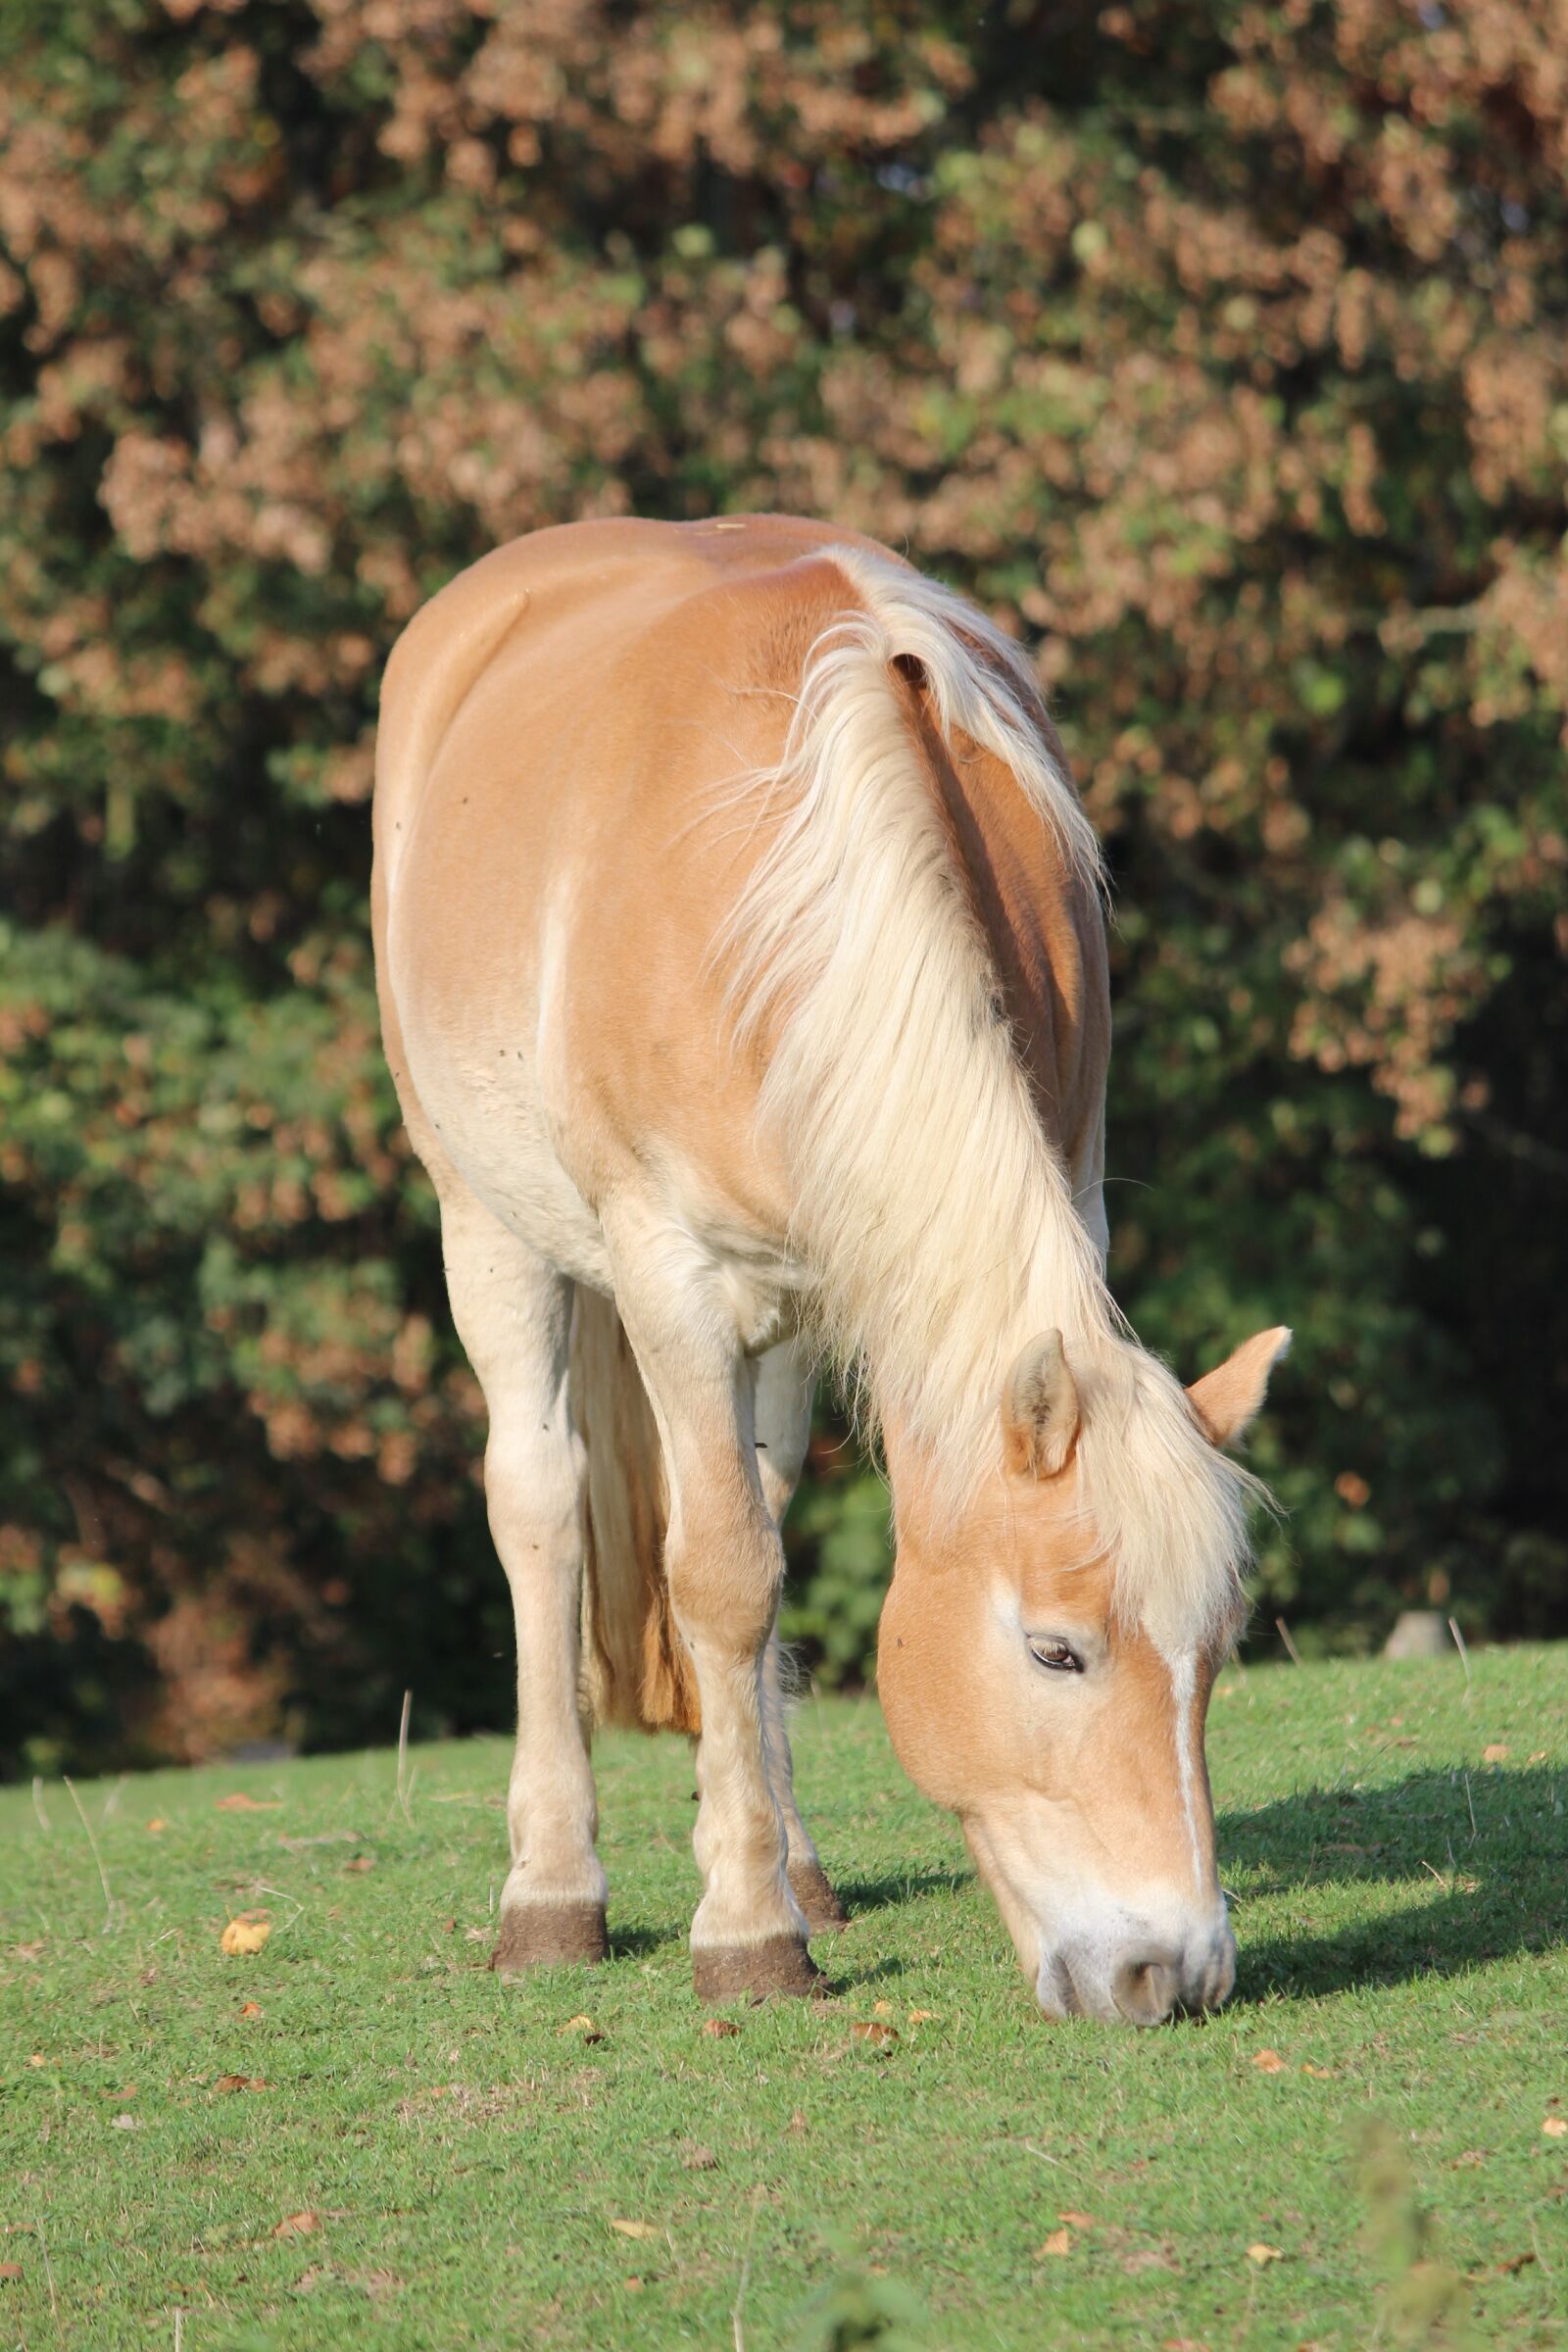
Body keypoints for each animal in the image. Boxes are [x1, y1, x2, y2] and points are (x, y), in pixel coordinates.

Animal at [371, 515, 1288, 2025]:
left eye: (1212, 1653)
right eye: (1056, 1649)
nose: (1173, 1972)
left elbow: (755, 1565)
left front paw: (766, 1884)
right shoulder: (668, 1279)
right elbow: (720, 1577)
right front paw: (745, 1936)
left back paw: (790, 1864)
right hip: (486, 1228)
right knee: (544, 1509)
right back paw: (555, 1889)